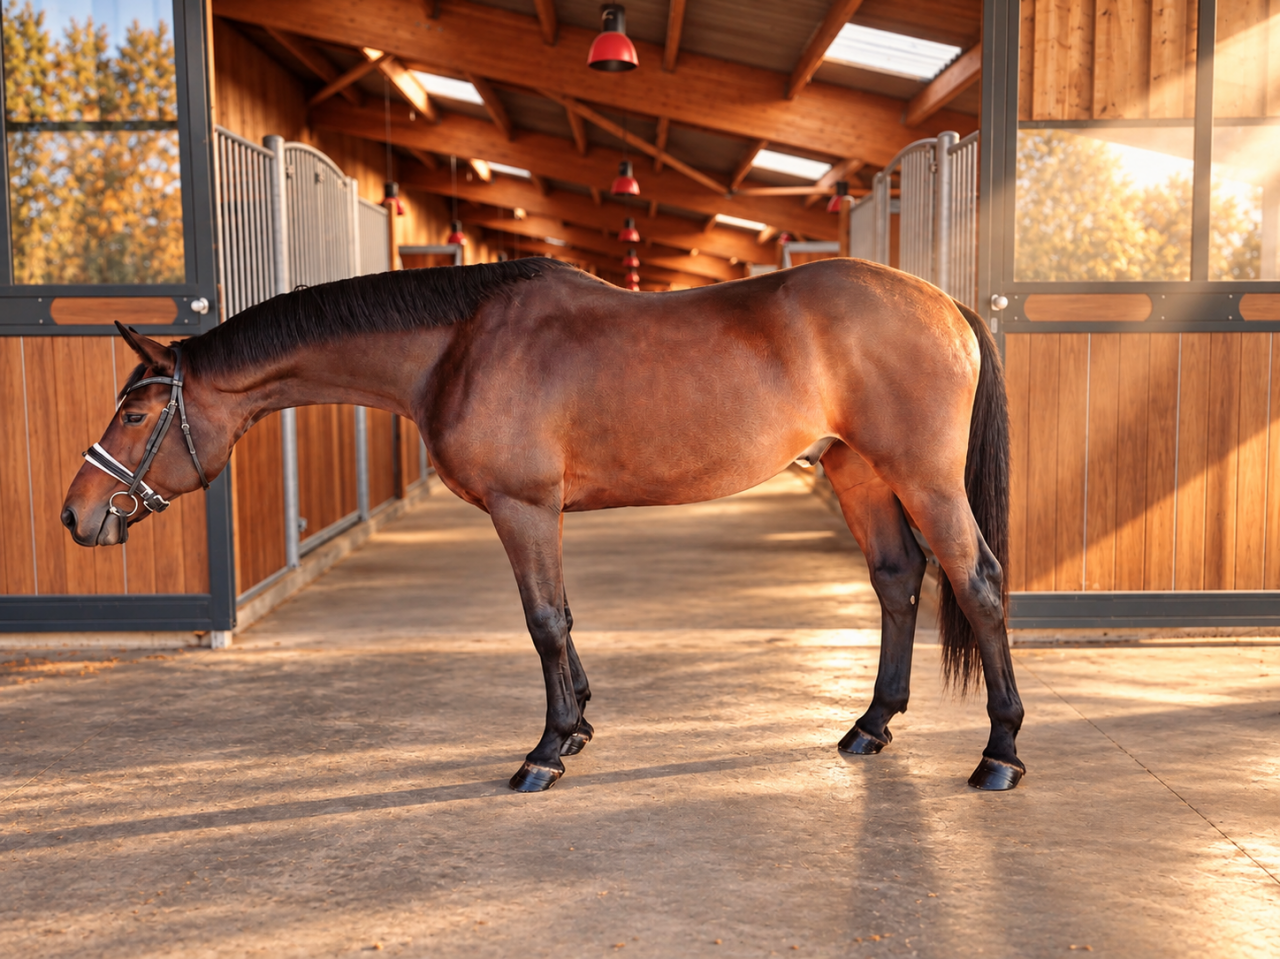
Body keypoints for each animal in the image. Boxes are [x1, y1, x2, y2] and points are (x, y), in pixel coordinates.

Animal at [61, 257, 1024, 793]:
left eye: (137, 415)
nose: (77, 513)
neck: (458, 344)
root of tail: (945, 303)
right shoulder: (540, 512)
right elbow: (563, 617)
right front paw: (582, 724)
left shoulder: (522, 507)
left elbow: (544, 621)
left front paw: (548, 750)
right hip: (858, 470)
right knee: (897, 582)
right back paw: (871, 725)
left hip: (923, 479)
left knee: (977, 583)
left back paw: (1000, 752)